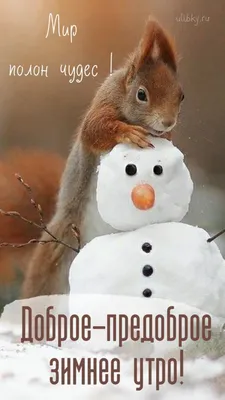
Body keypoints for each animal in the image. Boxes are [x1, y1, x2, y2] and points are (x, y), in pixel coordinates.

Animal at [22, 17, 185, 298]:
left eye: (181, 96)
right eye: (141, 94)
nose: (167, 122)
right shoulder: (103, 105)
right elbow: (94, 130)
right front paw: (128, 133)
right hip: (59, 250)